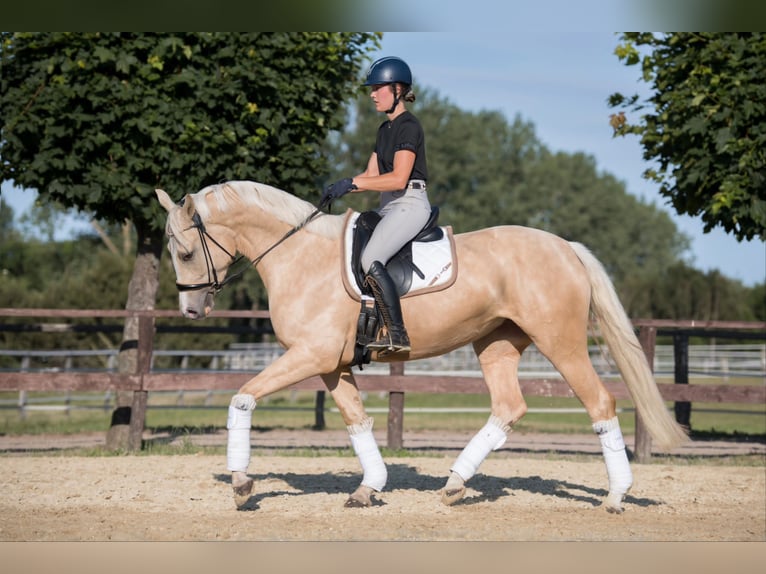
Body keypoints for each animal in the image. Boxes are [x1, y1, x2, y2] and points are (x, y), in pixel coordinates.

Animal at [156, 179, 688, 512]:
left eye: (185, 251)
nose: (191, 310)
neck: (298, 254)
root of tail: (566, 248)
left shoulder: (310, 356)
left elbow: (242, 397)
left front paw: (242, 484)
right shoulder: (330, 365)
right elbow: (357, 422)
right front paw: (369, 488)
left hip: (561, 343)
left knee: (600, 403)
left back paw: (616, 497)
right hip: (496, 343)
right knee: (508, 407)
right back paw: (454, 485)